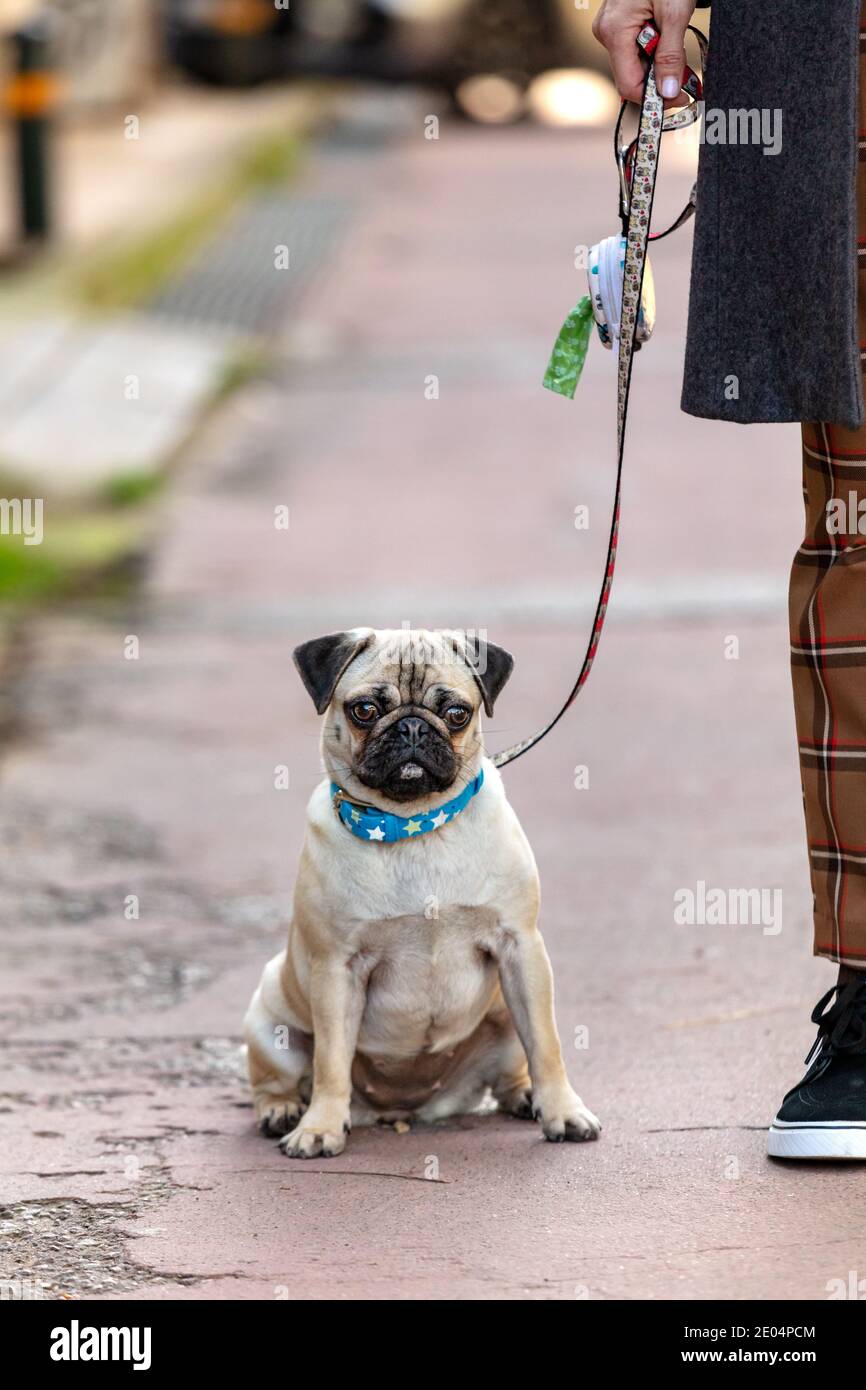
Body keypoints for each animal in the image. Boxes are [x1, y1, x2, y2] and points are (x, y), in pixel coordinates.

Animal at [240, 625, 600, 1156]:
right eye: (365, 710)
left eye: (456, 714)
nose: (412, 728)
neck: (412, 826)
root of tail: (405, 1109)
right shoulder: (336, 969)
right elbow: (330, 1060)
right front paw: (319, 1127)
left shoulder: (521, 949)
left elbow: (547, 1044)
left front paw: (562, 1112)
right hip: (270, 1022)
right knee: (275, 1080)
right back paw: (283, 1111)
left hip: (504, 1012)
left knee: (514, 1069)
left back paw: (525, 1097)